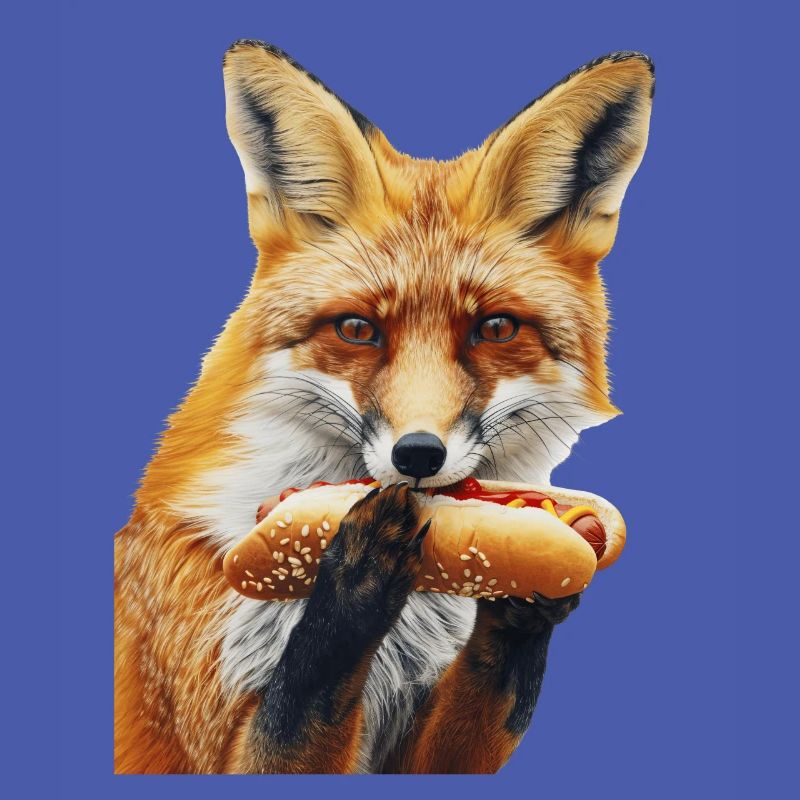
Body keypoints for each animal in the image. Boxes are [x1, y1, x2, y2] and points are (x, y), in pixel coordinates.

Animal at [114, 40, 653, 774]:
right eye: (357, 330)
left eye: (495, 329)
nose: (417, 455)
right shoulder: (209, 728)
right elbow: (303, 692)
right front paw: (355, 575)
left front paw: (528, 597)